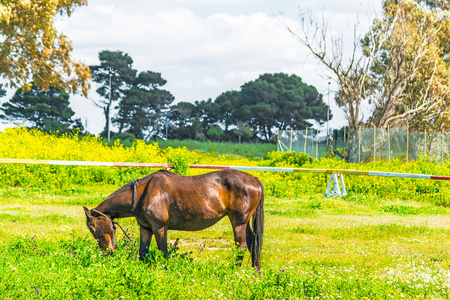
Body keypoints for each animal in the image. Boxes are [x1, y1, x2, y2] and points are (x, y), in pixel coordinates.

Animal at [83, 169, 264, 268]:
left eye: (95, 228)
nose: (108, 253)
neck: (142, 194)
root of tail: (254, 179)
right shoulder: (146, 228)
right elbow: (143, 252)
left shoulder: (159, 227)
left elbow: (163, 251)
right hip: (245, 223)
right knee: (253, 244)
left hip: (238, 222)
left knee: (241, 247)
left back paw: (235, 271)